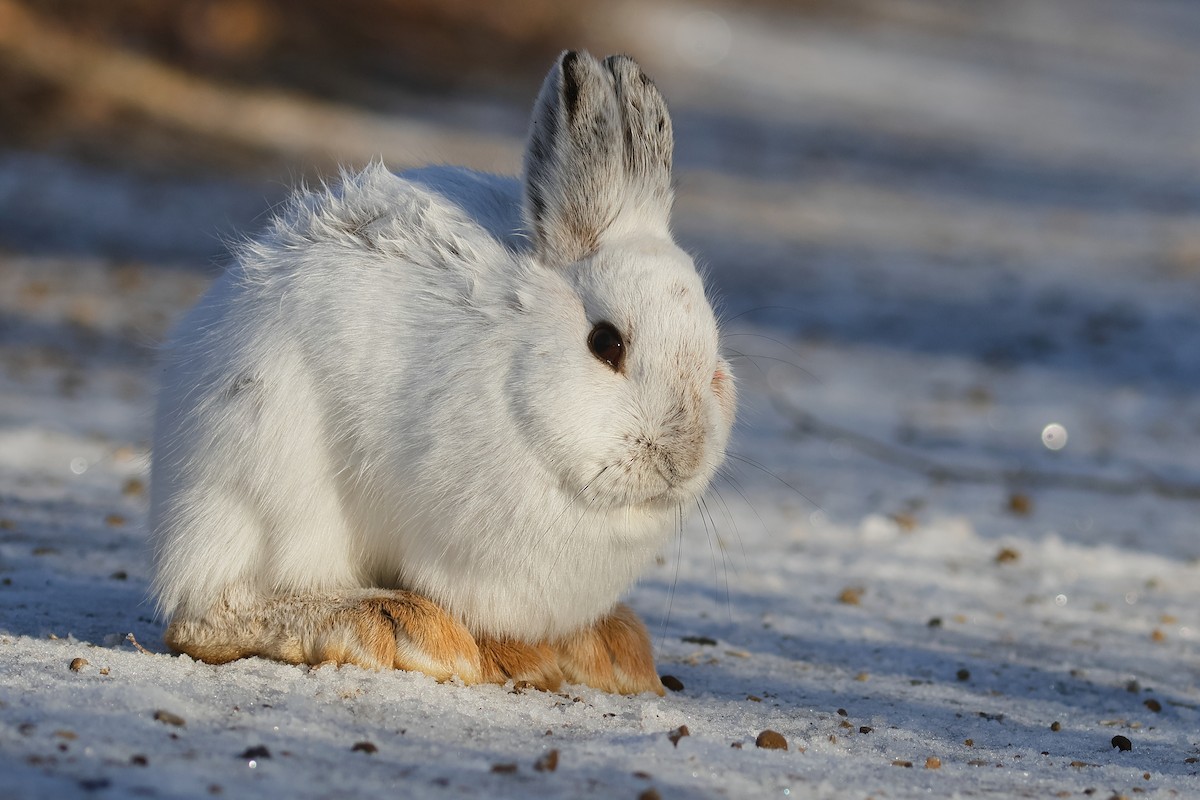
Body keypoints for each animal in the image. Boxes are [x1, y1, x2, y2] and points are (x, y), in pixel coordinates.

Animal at [149, 50, 737, 696]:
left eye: (713, 362)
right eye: (606, 344)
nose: (682, 457)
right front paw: (517, 658)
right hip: (268, 476)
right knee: (206, 615)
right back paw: (396, 625)